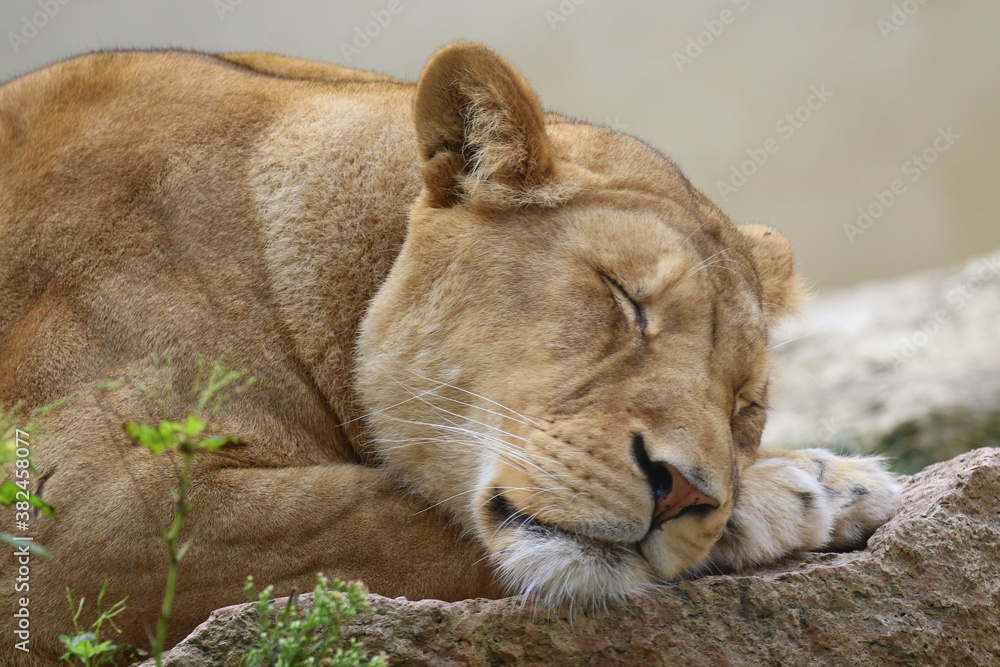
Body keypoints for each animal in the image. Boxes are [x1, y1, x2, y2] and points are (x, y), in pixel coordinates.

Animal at [0, 42, 899, 664]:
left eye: (745, 406)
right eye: (624, 298)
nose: (684, 491)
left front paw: (821, 479)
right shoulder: (81, 515)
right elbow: (391, 518)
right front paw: (802, 490)